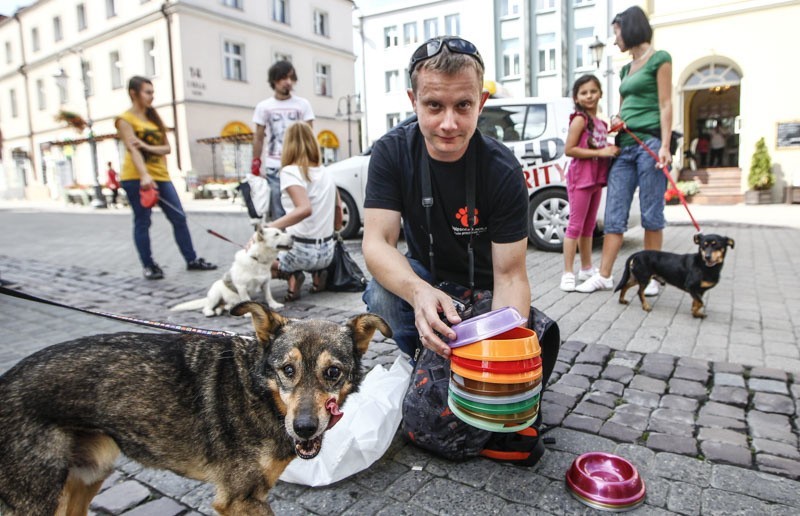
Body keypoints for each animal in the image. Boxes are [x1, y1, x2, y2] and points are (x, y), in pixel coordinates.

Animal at [0, 302, 390, 516]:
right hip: (41, 499)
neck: (258, 391)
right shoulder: (239, 500)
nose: (305, 428)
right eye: (287, 370)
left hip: (89, 474)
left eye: (332, 373)